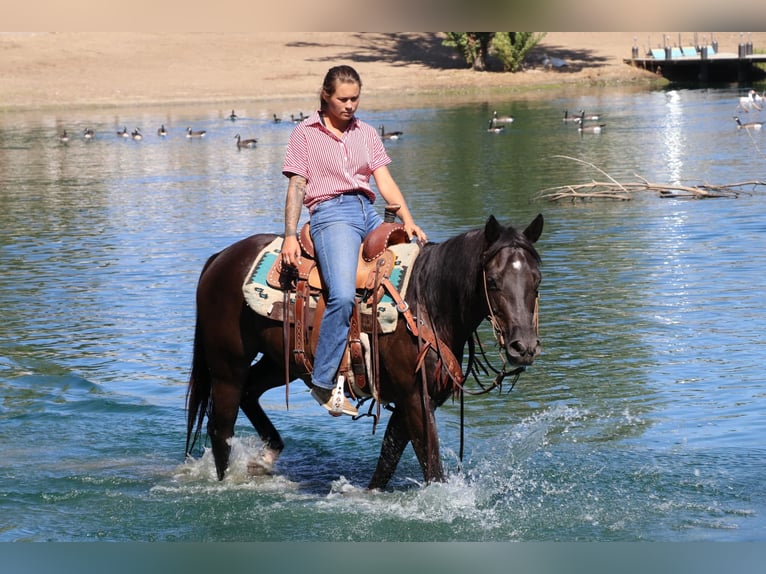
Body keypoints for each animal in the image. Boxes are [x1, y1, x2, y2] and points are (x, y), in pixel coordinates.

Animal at [185, 213, 544, 490]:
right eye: (493, 280)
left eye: (537, 280)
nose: (523, 347)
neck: (427, 301)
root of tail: (220, 258)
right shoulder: (415, 398)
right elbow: (431, 466)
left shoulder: (412, 400)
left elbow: (387, 459)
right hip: (227, 366)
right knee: (221, 428)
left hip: (281, 362)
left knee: (250, 393)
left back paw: (266, 456)